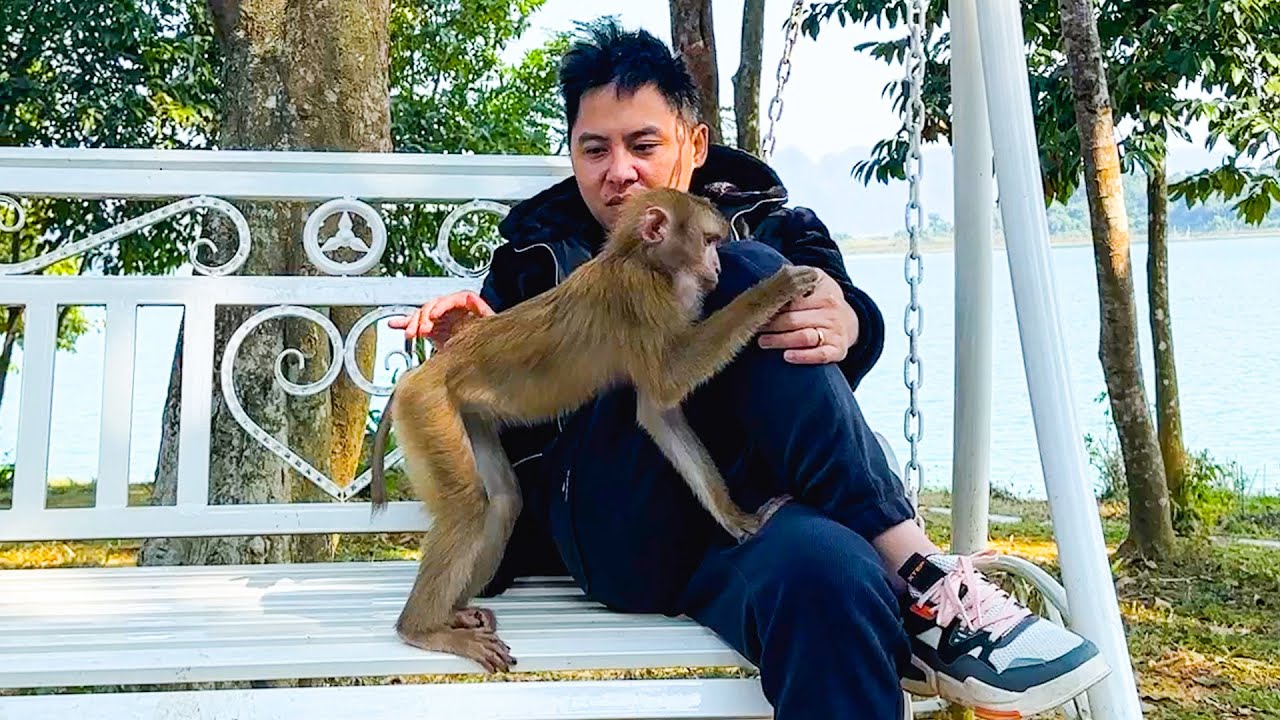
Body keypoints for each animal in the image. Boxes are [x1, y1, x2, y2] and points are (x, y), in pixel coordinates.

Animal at [368, 186, 821, 673]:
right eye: (711, 242)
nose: (718, 266)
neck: (640, 260)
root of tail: (424, 372)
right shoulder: (641, 298)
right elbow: (670, 379)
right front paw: (777, 288)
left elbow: (657, 410)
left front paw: (737, 519)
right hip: (428, 407)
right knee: (467, 508)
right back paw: (422, 630)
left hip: (463, 413)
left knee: (504, 501)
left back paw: (453, 613)